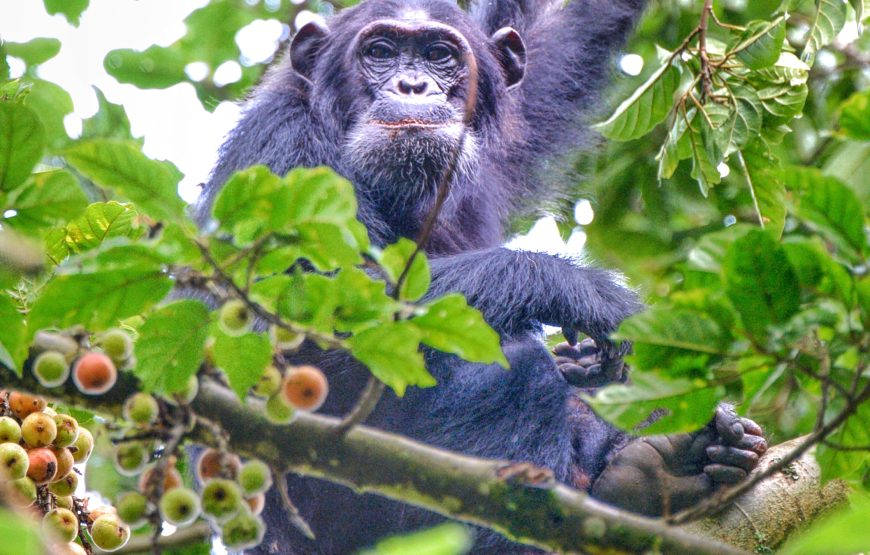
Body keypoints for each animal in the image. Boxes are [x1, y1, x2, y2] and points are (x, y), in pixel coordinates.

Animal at [195, 0, 766, 552]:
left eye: (438, 55)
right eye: (379, 51)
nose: (412, 85)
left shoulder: (507, 132)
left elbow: (564, 35)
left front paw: (590, 361)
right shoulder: (282, 151)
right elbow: (289, 328)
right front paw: (583, 292)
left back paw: (667, 463)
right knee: (510, 366)